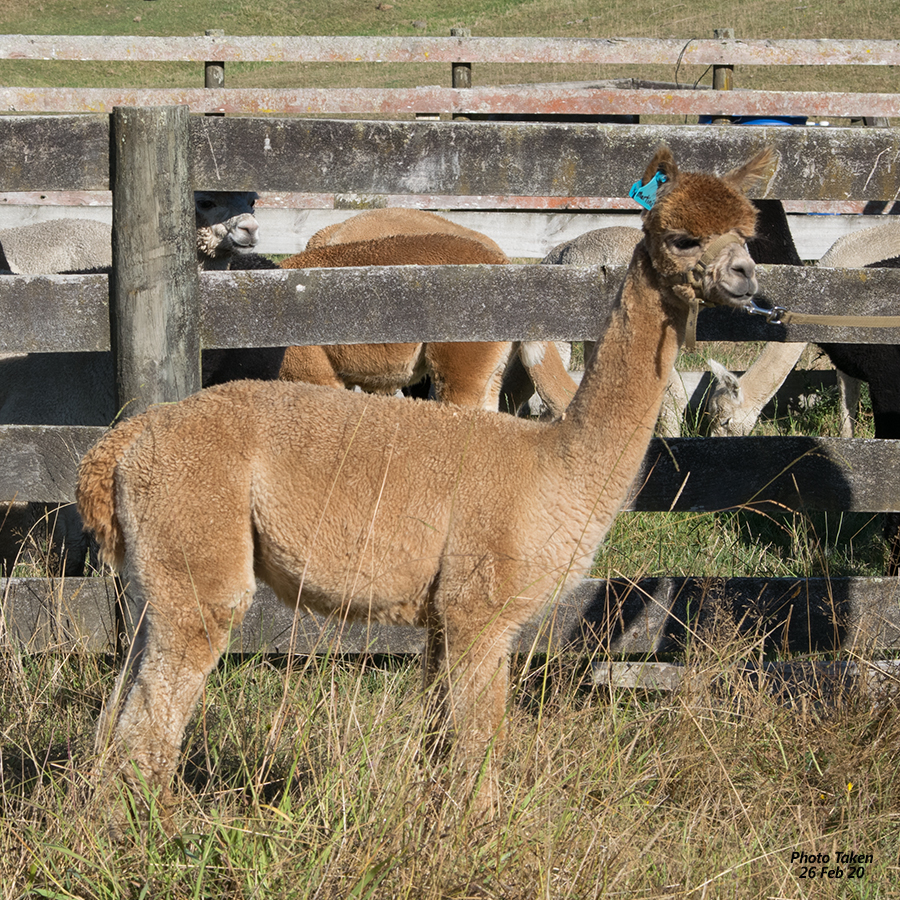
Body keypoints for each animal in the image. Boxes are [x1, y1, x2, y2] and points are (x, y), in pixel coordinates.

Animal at [74, 144, 768, 828]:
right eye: (682, 237)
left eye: (747, 232)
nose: (746, 277)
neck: (554, 465)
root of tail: (123, 442)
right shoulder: (479, 612)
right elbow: (481, 743)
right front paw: (476, 839)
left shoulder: (442, 618)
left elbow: (442, 740)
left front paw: (433, 824)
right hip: (199, 547)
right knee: (154, 713)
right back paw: (153, 833)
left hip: (161, 572)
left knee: (124, 699)